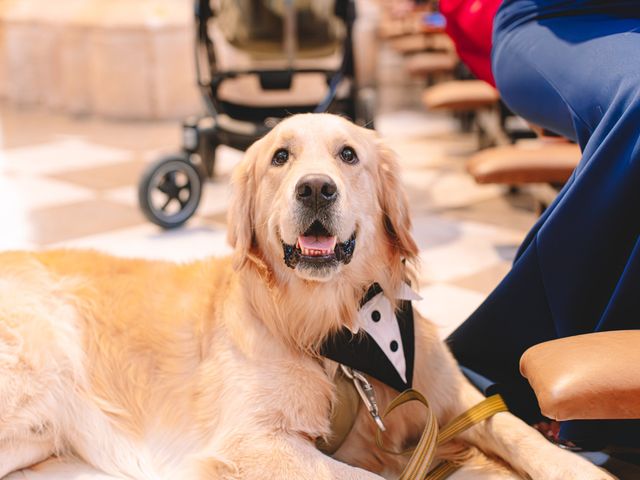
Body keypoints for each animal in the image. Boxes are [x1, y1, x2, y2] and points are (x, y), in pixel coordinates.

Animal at [0, 113, 608, 480]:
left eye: (348, 155)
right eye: (280, 157)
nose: (316, 188)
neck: (338, 331)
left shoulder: (450, 392)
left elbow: (515, 428)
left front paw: (578, 468)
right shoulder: (254, 440)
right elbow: (360, 475)